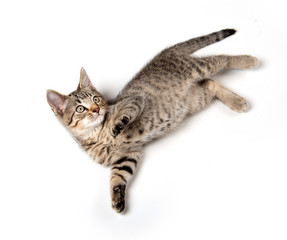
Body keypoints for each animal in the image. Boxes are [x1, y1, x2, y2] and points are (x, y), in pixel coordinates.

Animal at [46, 29, 258, 213]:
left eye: (96, 99)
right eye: (80, 109)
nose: (96, 109)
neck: (96, 135)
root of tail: (164, 53)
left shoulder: (135, 101)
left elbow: (126, 113)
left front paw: (117, 125)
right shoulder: (128, 155)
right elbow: (117, 175)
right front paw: (116, 197)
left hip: (196, 68)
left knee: (222, 59)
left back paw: (249, 61)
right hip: (194, 100)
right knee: (210, 83)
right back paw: (236, 101)